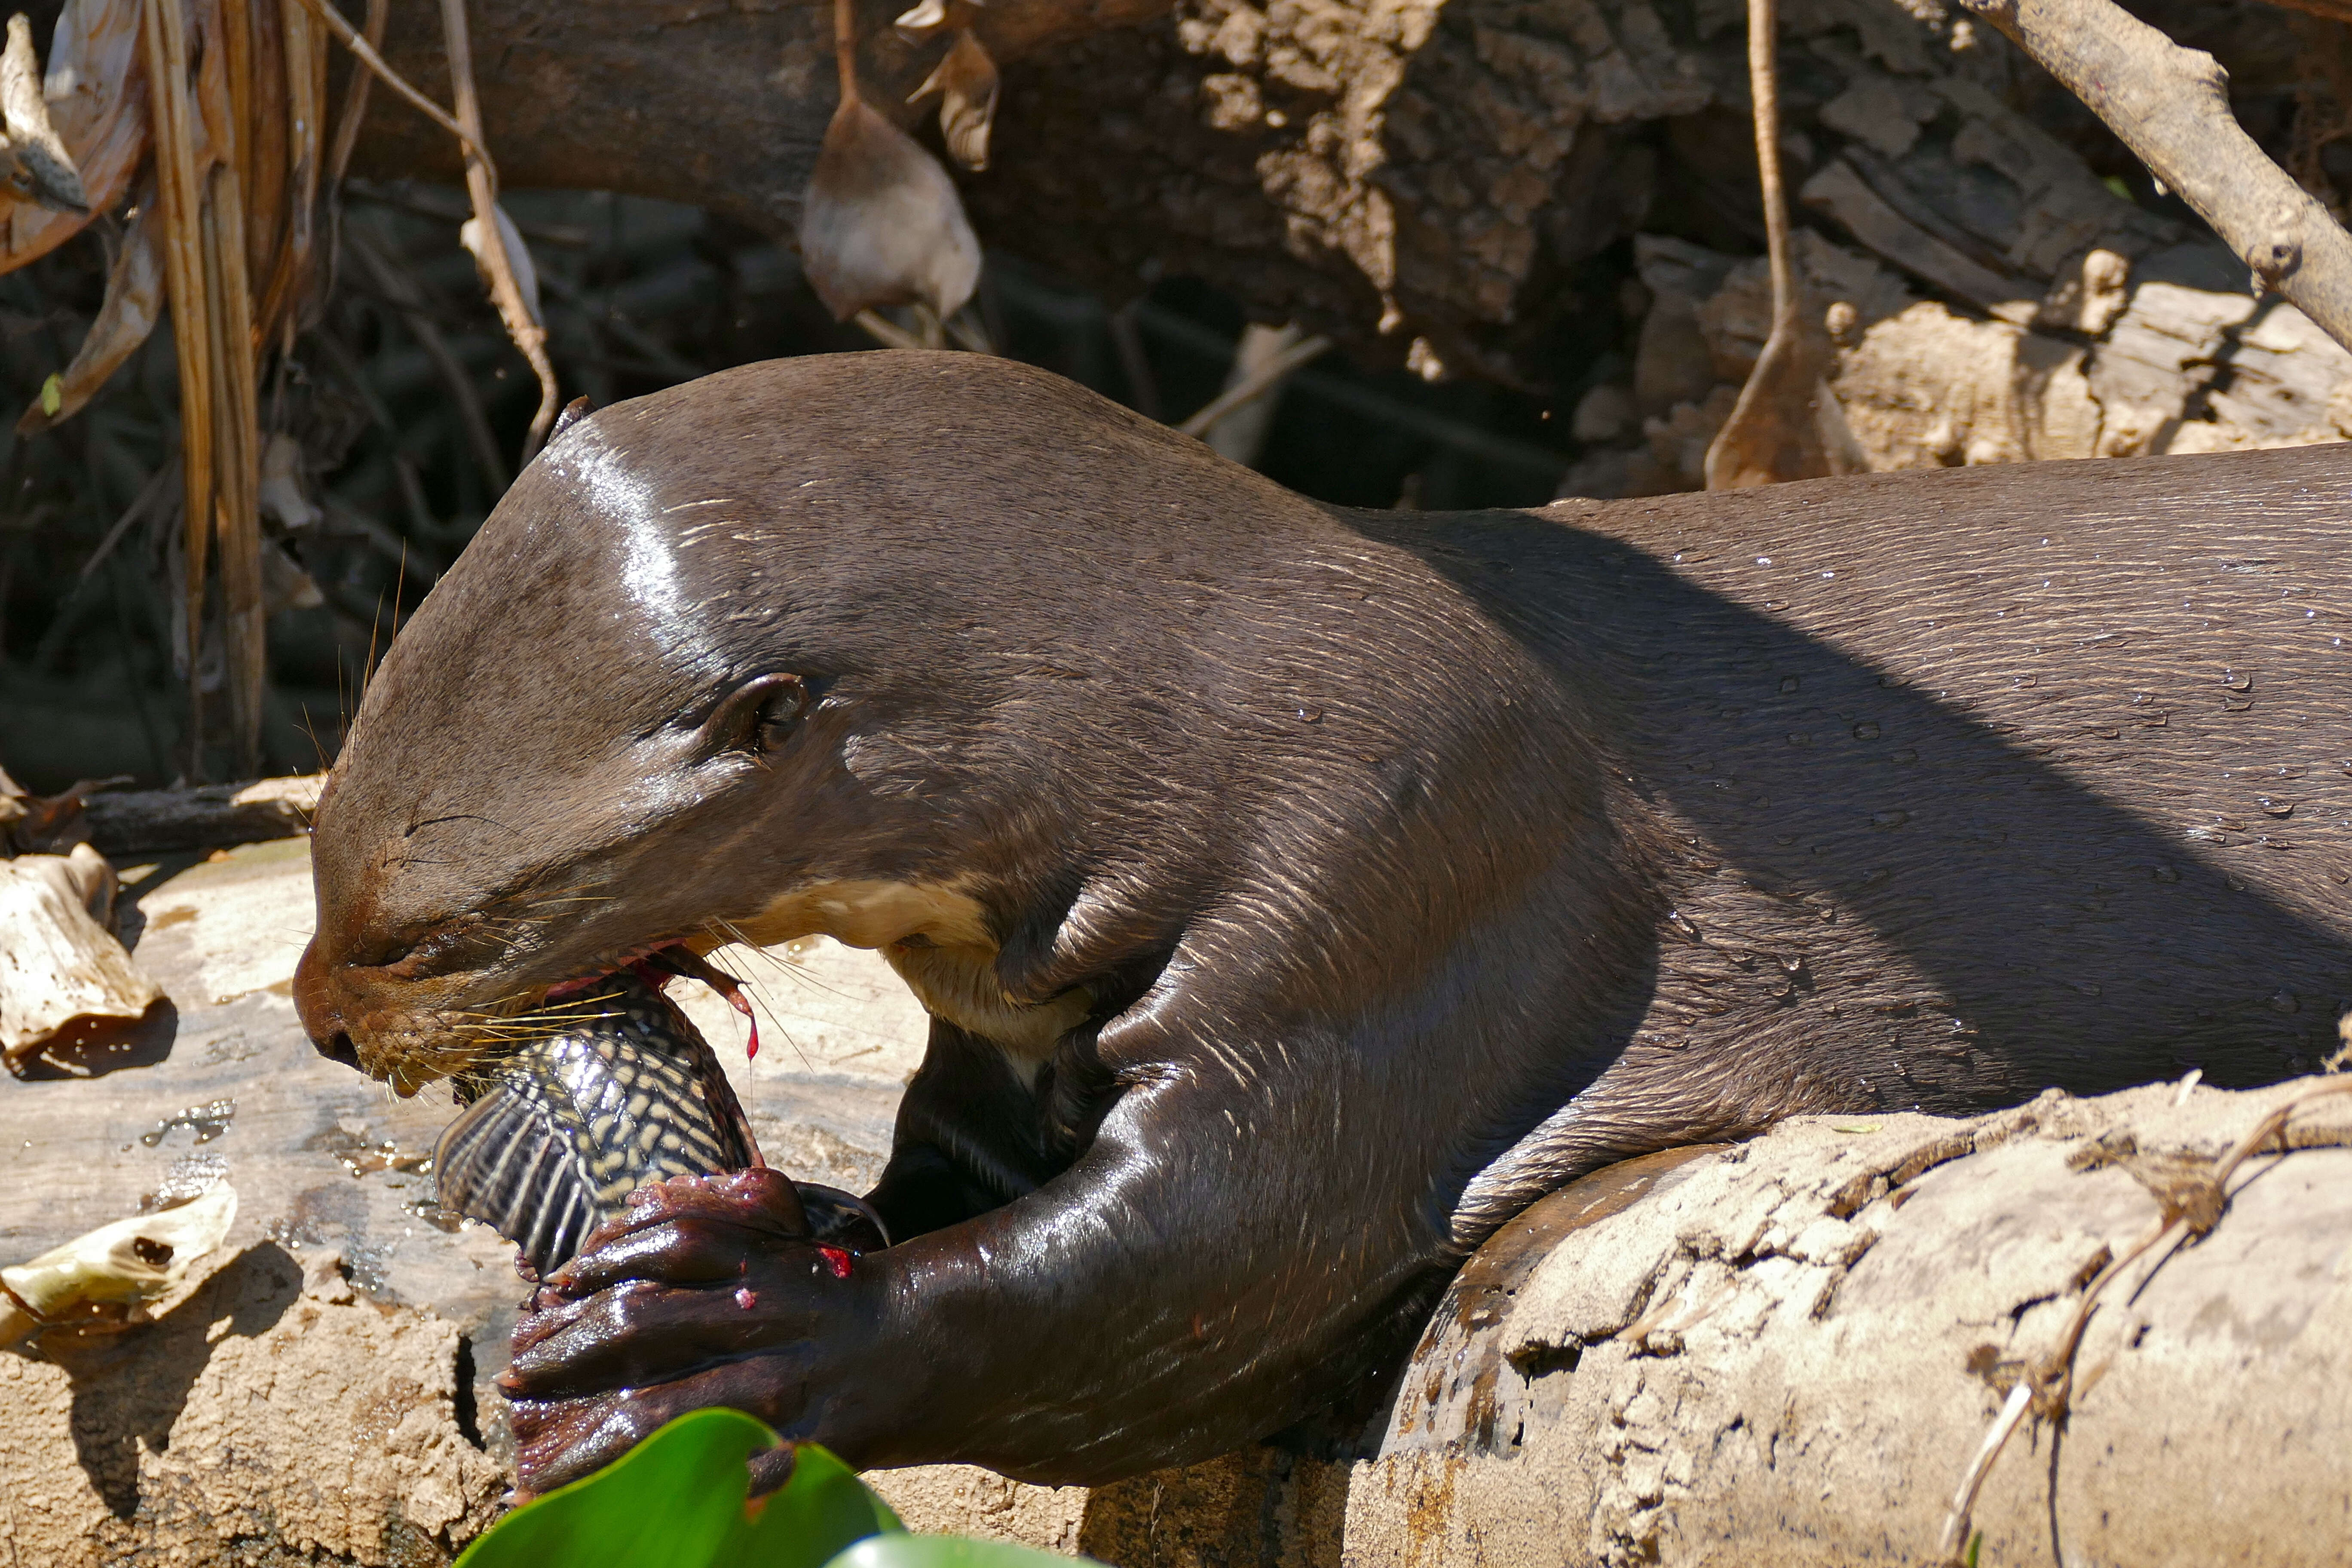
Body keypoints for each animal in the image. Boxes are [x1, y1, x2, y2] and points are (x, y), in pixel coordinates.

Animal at [294, 355, 2352, 1495]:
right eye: (318, 866)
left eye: (415, 928)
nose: (319, 1010)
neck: (1206, 718)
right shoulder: (1034, 1026)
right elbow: (966, 1180)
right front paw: (785, 1215)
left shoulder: (1403, 864)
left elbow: (1217, 1254)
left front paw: (728, 1331)